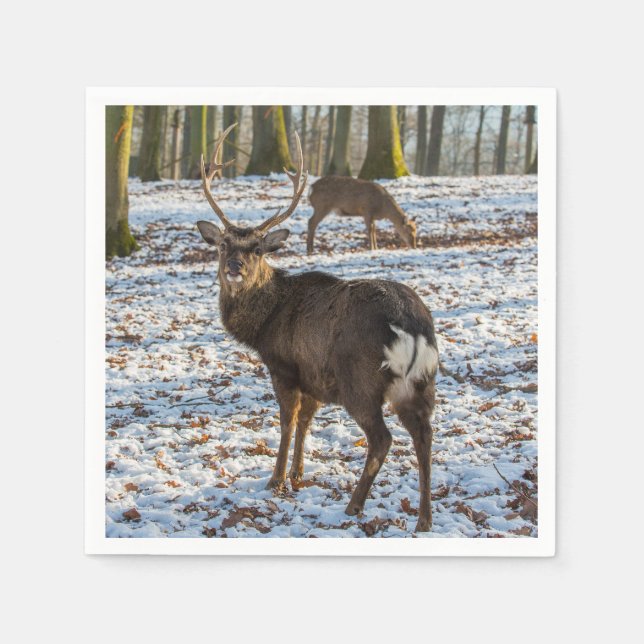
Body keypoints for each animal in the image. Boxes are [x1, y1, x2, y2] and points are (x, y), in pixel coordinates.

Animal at [196, 124, 438, 532]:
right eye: (224, 244)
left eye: (258, 249)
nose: (234, 266)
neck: (264, 324)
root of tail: (413, 325)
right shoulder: (314, 379)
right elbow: (306, 423)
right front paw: (297, 475)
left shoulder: (284, 367)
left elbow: (287, 423)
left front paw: (276, 480)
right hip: (419, 384)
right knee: (425, 435)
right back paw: (423, 519)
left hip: (361, 381)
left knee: (383, 439)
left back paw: (354, 505)